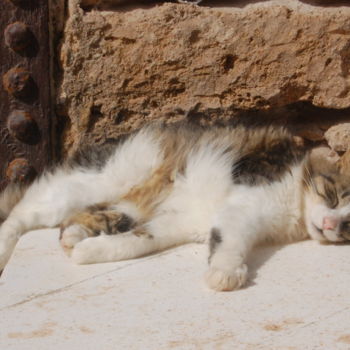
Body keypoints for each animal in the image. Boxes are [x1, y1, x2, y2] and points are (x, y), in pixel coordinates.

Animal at [0, 121, 350, 292]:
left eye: (348, 225)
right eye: (333, 197)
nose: (330, 225)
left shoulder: (177, 223)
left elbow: (134, 243)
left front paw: (90, 252)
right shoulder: (244, 204)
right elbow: (230, 243)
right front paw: (226, 273)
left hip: (127, 205)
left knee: (91, 218)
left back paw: (74, 239)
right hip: (98, 180)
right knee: (21, 213)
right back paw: (5, 251)